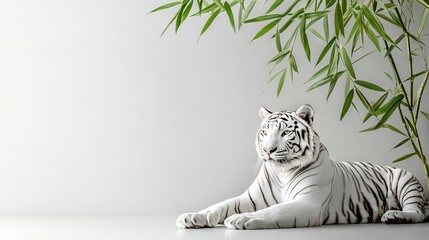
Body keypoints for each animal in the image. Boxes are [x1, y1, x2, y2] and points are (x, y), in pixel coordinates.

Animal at [175, 105, 428, 229]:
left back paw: (395, 215)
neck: (281, 172)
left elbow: (272, 211)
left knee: (417, 213)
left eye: (285, 133)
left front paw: (241, 219)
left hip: (405, 179)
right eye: (265, 132)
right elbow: (220, 206)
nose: (268, 150)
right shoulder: (251, 198)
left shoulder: (309, 203)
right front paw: (192, 216)